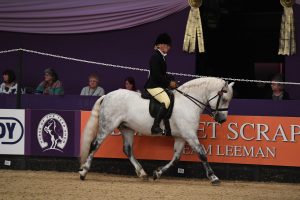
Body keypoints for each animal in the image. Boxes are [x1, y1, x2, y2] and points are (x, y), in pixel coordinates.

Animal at [79, 77, 234, 185]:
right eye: (224, 99)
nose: (222, 120)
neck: (188, 103)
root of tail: (107, 96)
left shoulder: (181, 137)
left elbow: (176, 158)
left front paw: (157, 173)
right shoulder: (189, 135)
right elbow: (202, 154)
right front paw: (214, 177)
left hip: (127, 128)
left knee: (127, 149)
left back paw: (142, 173)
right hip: (108, 125)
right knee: (95, 145)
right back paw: (83, 171)